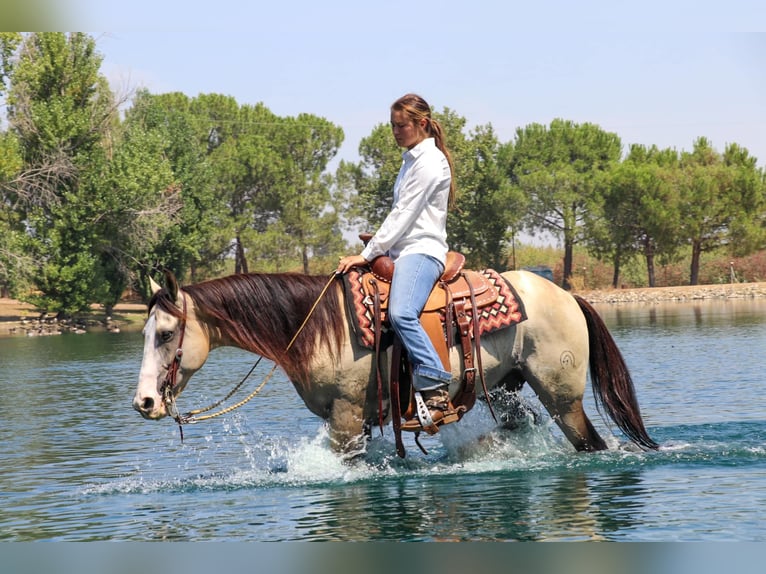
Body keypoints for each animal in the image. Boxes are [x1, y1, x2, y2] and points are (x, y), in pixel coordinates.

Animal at [134, 268, 660, 460]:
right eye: (144, 332)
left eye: (166, 334)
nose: (144, 403)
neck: (316, 326)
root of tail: (567, 295)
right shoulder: (353, 418)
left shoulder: (346, 415)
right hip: (510, 387)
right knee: (519, 422)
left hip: (562, 396)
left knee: (588, 443)